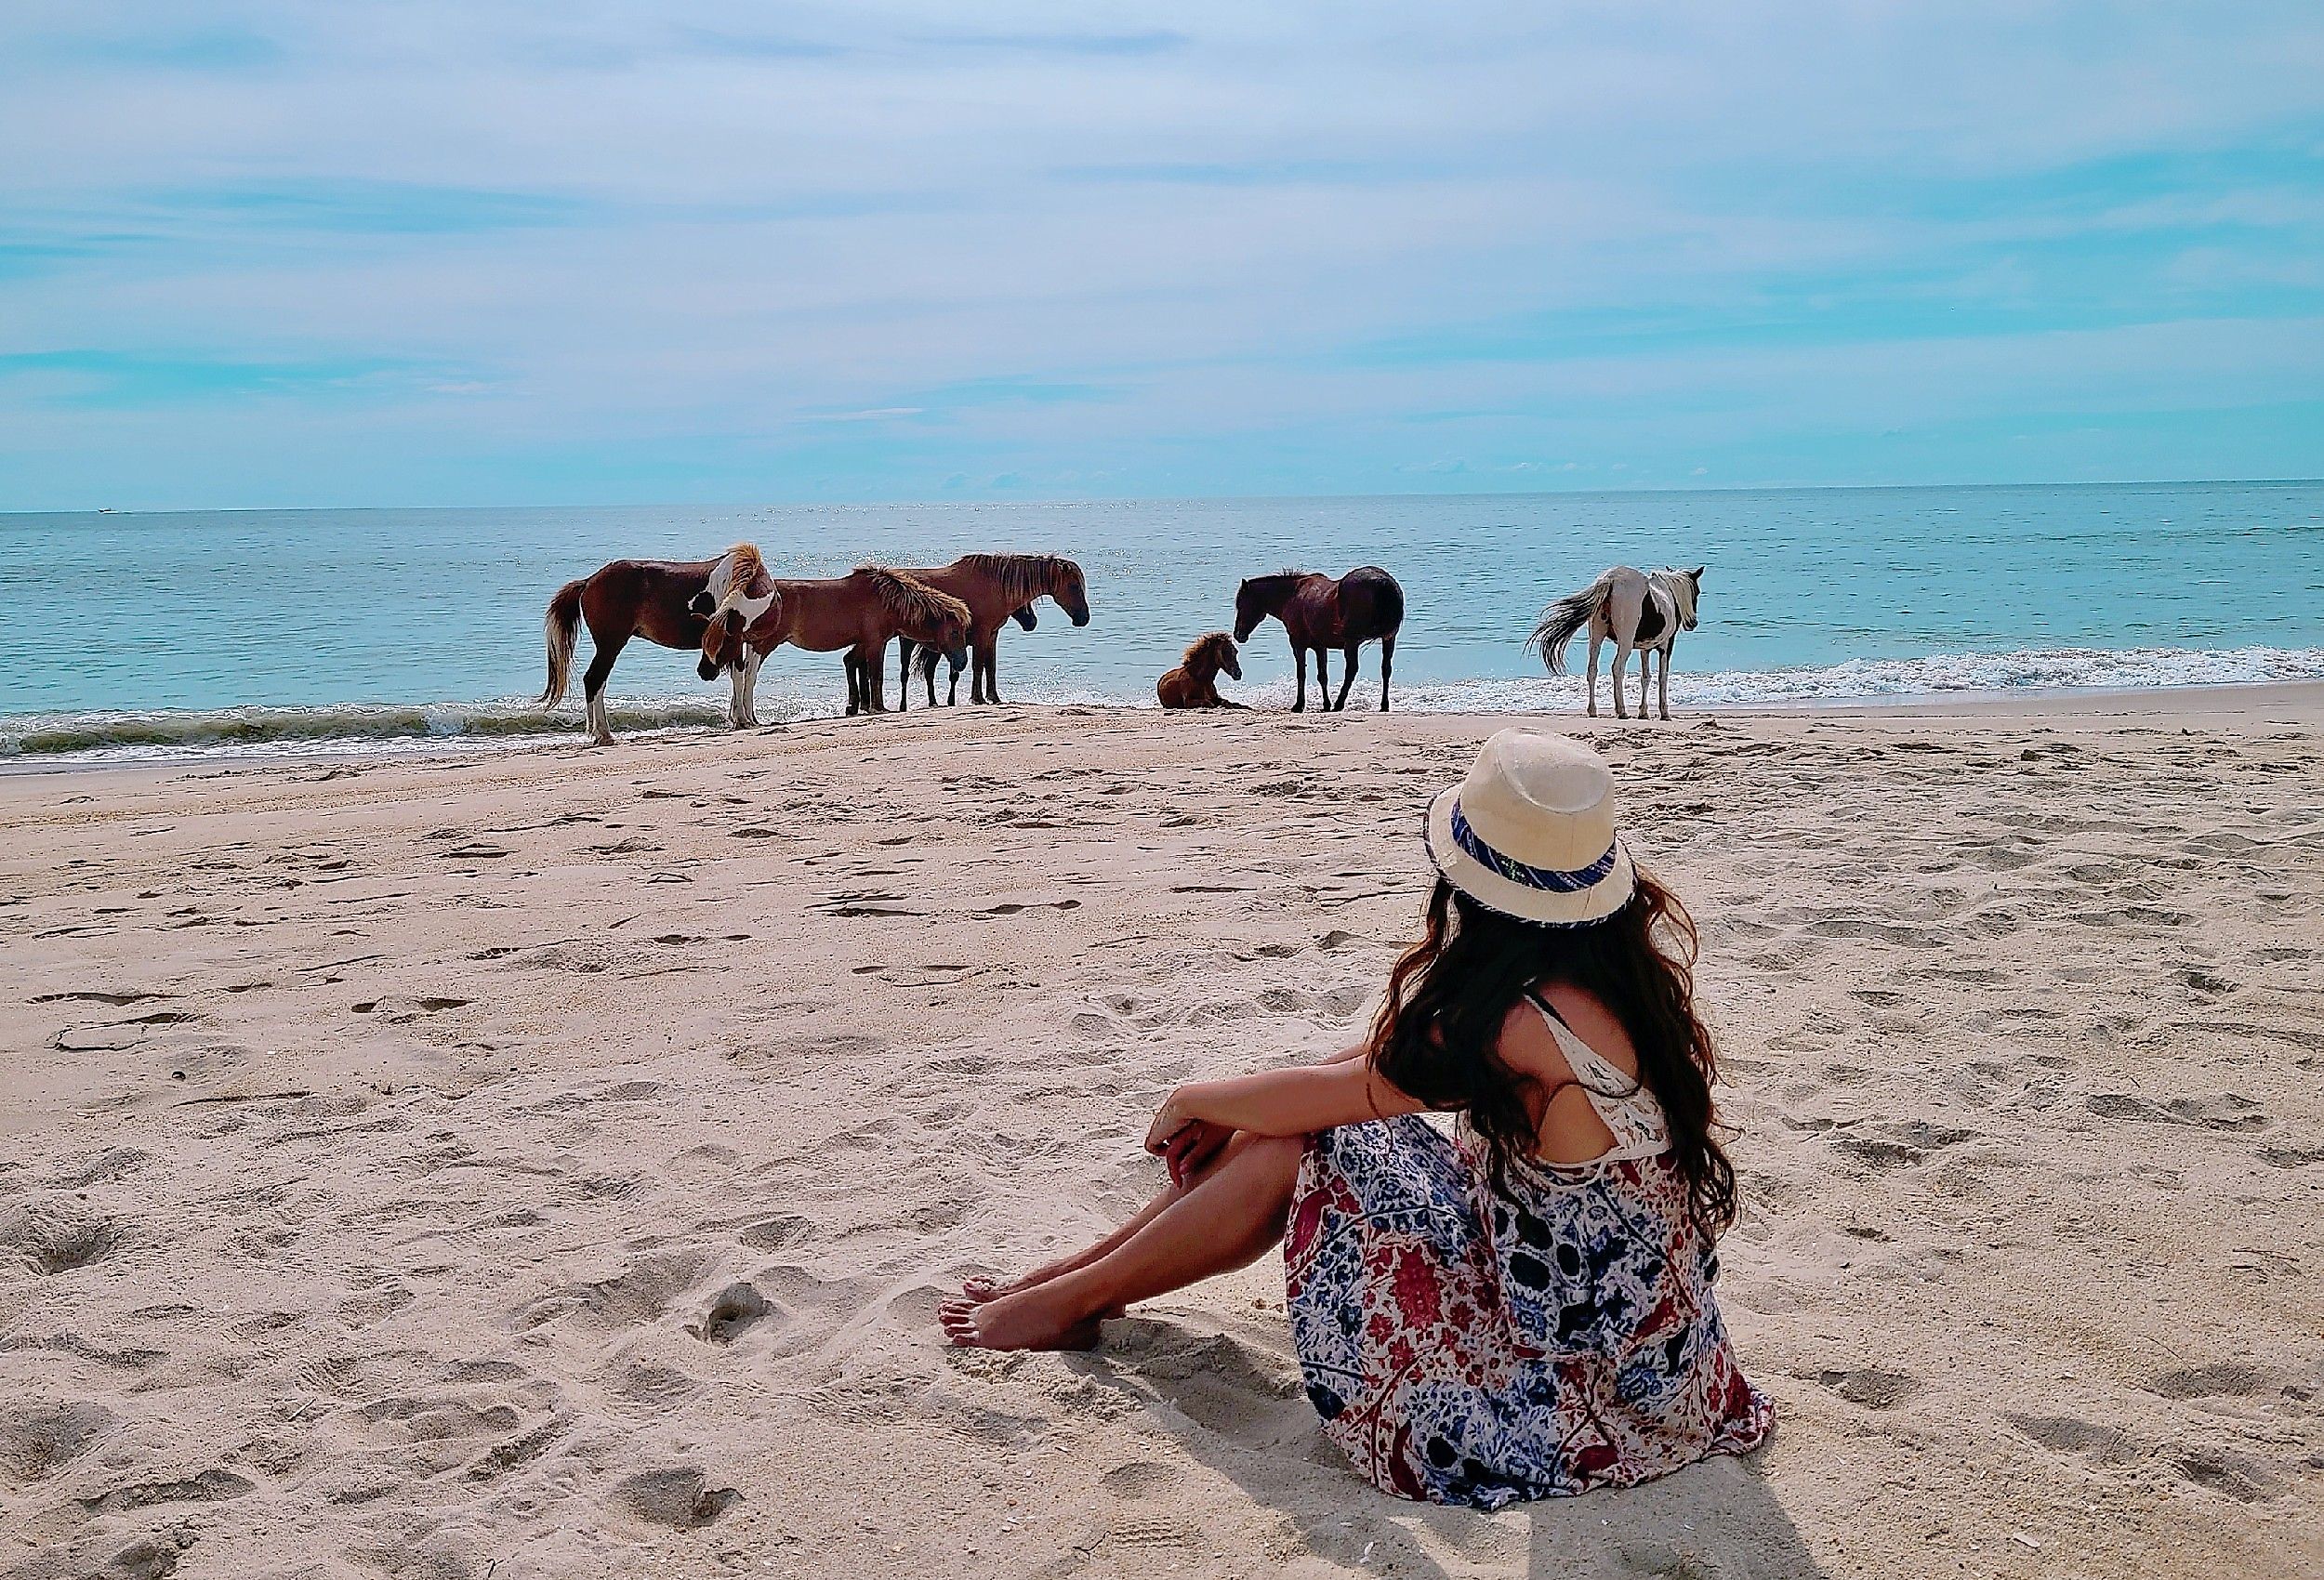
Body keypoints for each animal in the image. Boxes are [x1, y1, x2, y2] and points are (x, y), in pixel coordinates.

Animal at [693, 558, 976, 720]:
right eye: (954, 632)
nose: (962, 663)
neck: (885, 599)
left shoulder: (862, 642)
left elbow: (852, 664)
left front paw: (855, 706)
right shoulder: (875, 643)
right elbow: (875, 675)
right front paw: (877, 707)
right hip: (763, 644)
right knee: (747, 674)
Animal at [897, 555, 1097, 702]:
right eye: (1073, 586)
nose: (1084, 618)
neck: (994, 584)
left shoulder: (992, 635)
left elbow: (990, 667)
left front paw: (994, 697)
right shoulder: (981, 635)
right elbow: (978, 666)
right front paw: (977, 699)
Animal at [1227, 564, 1404, 711]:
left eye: (1240, 604)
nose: (1238, 635)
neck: (1293, 594)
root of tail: (1382, 582)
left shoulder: (1298, 644)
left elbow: (1301, 674)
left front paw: (1299, 705)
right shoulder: (1320, 646)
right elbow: (1322, 676)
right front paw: (1325, 704)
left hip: (1352, 642)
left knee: (1351, 670)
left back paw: (1339, 704)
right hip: (1389, 639)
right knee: (1385, 669)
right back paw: (1384, 705)